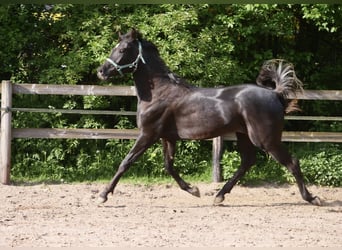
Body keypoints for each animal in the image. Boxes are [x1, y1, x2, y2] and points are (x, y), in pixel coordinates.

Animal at [96, 28, 320, 205]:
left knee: (292, 162)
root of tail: (275, 93)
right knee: (247, 162)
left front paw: (103, 195)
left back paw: (311, 198)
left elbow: (126, 162)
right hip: (244, 136)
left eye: (123, 49)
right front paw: (193, 190)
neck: (160, 92)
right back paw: (219, 196)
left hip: (266, 139)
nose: (101, 71)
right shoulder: (167, 137)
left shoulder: (147, 134)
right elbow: (169, 166)